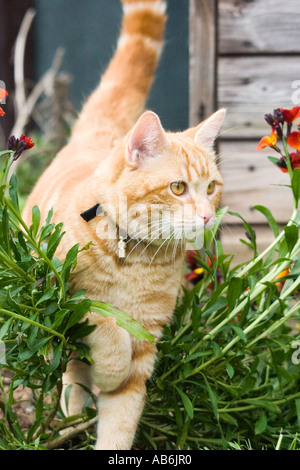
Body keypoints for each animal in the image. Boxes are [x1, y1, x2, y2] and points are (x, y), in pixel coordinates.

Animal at [23, 0, 225, 450]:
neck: (136, 259)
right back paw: (73, 414)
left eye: (211, 187)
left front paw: (113, 388)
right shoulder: (66, 299)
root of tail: (97, 140)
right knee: (71, 371)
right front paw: (110, 368)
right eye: (178, 187)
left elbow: (121, 418)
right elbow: (107, 325)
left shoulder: (147, 336)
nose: (207, 214)